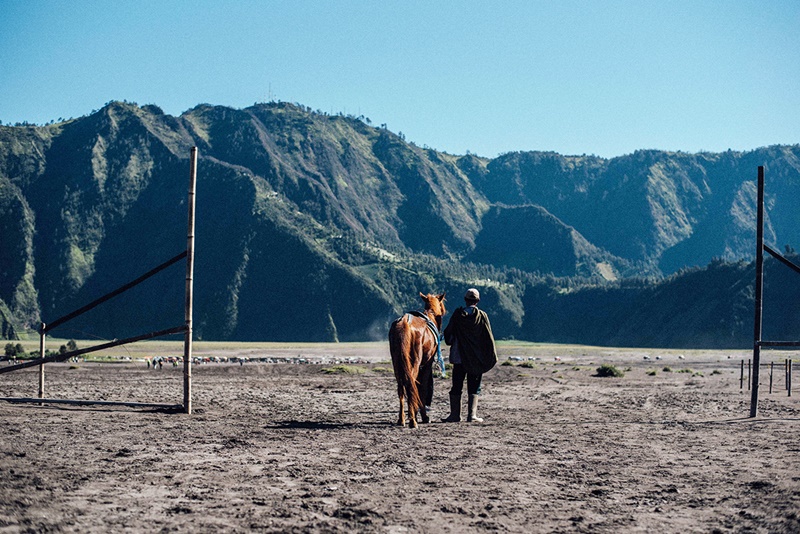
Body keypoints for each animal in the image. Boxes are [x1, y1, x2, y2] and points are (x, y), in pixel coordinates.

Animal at [386, 294, 444, 432]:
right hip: (415, 362)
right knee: (409, 383)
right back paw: (412, 420)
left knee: (401, 387)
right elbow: (422, 387)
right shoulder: (426, 365)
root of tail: (404, 323)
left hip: (397, 363)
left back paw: (401, 419)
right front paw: (423, 416)